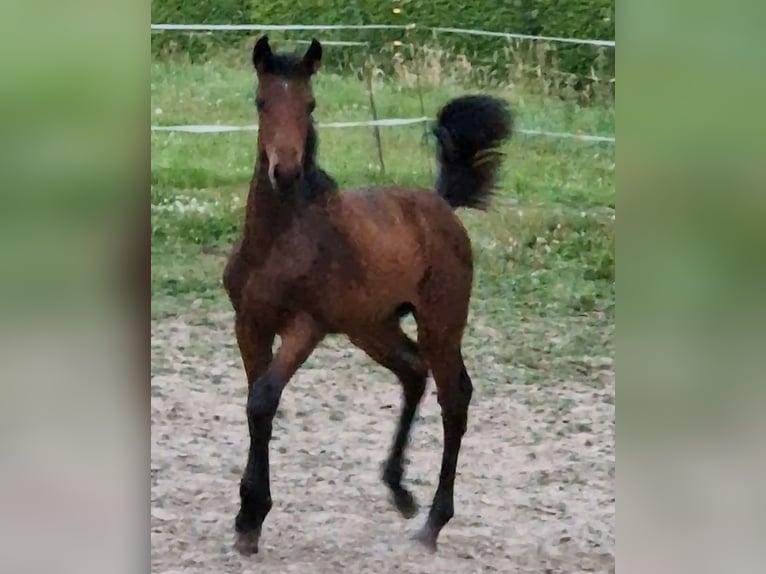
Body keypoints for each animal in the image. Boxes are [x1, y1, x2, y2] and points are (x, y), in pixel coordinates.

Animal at [223, 35, 513, 556]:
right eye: (261, 102)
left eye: (310, 104)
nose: (286, 171)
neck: (277, 241)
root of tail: (440, 203)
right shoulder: (249, 324)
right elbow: (257, 404)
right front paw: (248, 519)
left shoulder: (305, 326)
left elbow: (264, 399)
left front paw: (251, 515)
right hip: (372, 326)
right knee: (414, 372)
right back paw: (399, 491)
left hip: (440, 321)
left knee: (454, 396)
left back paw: (433, 522)